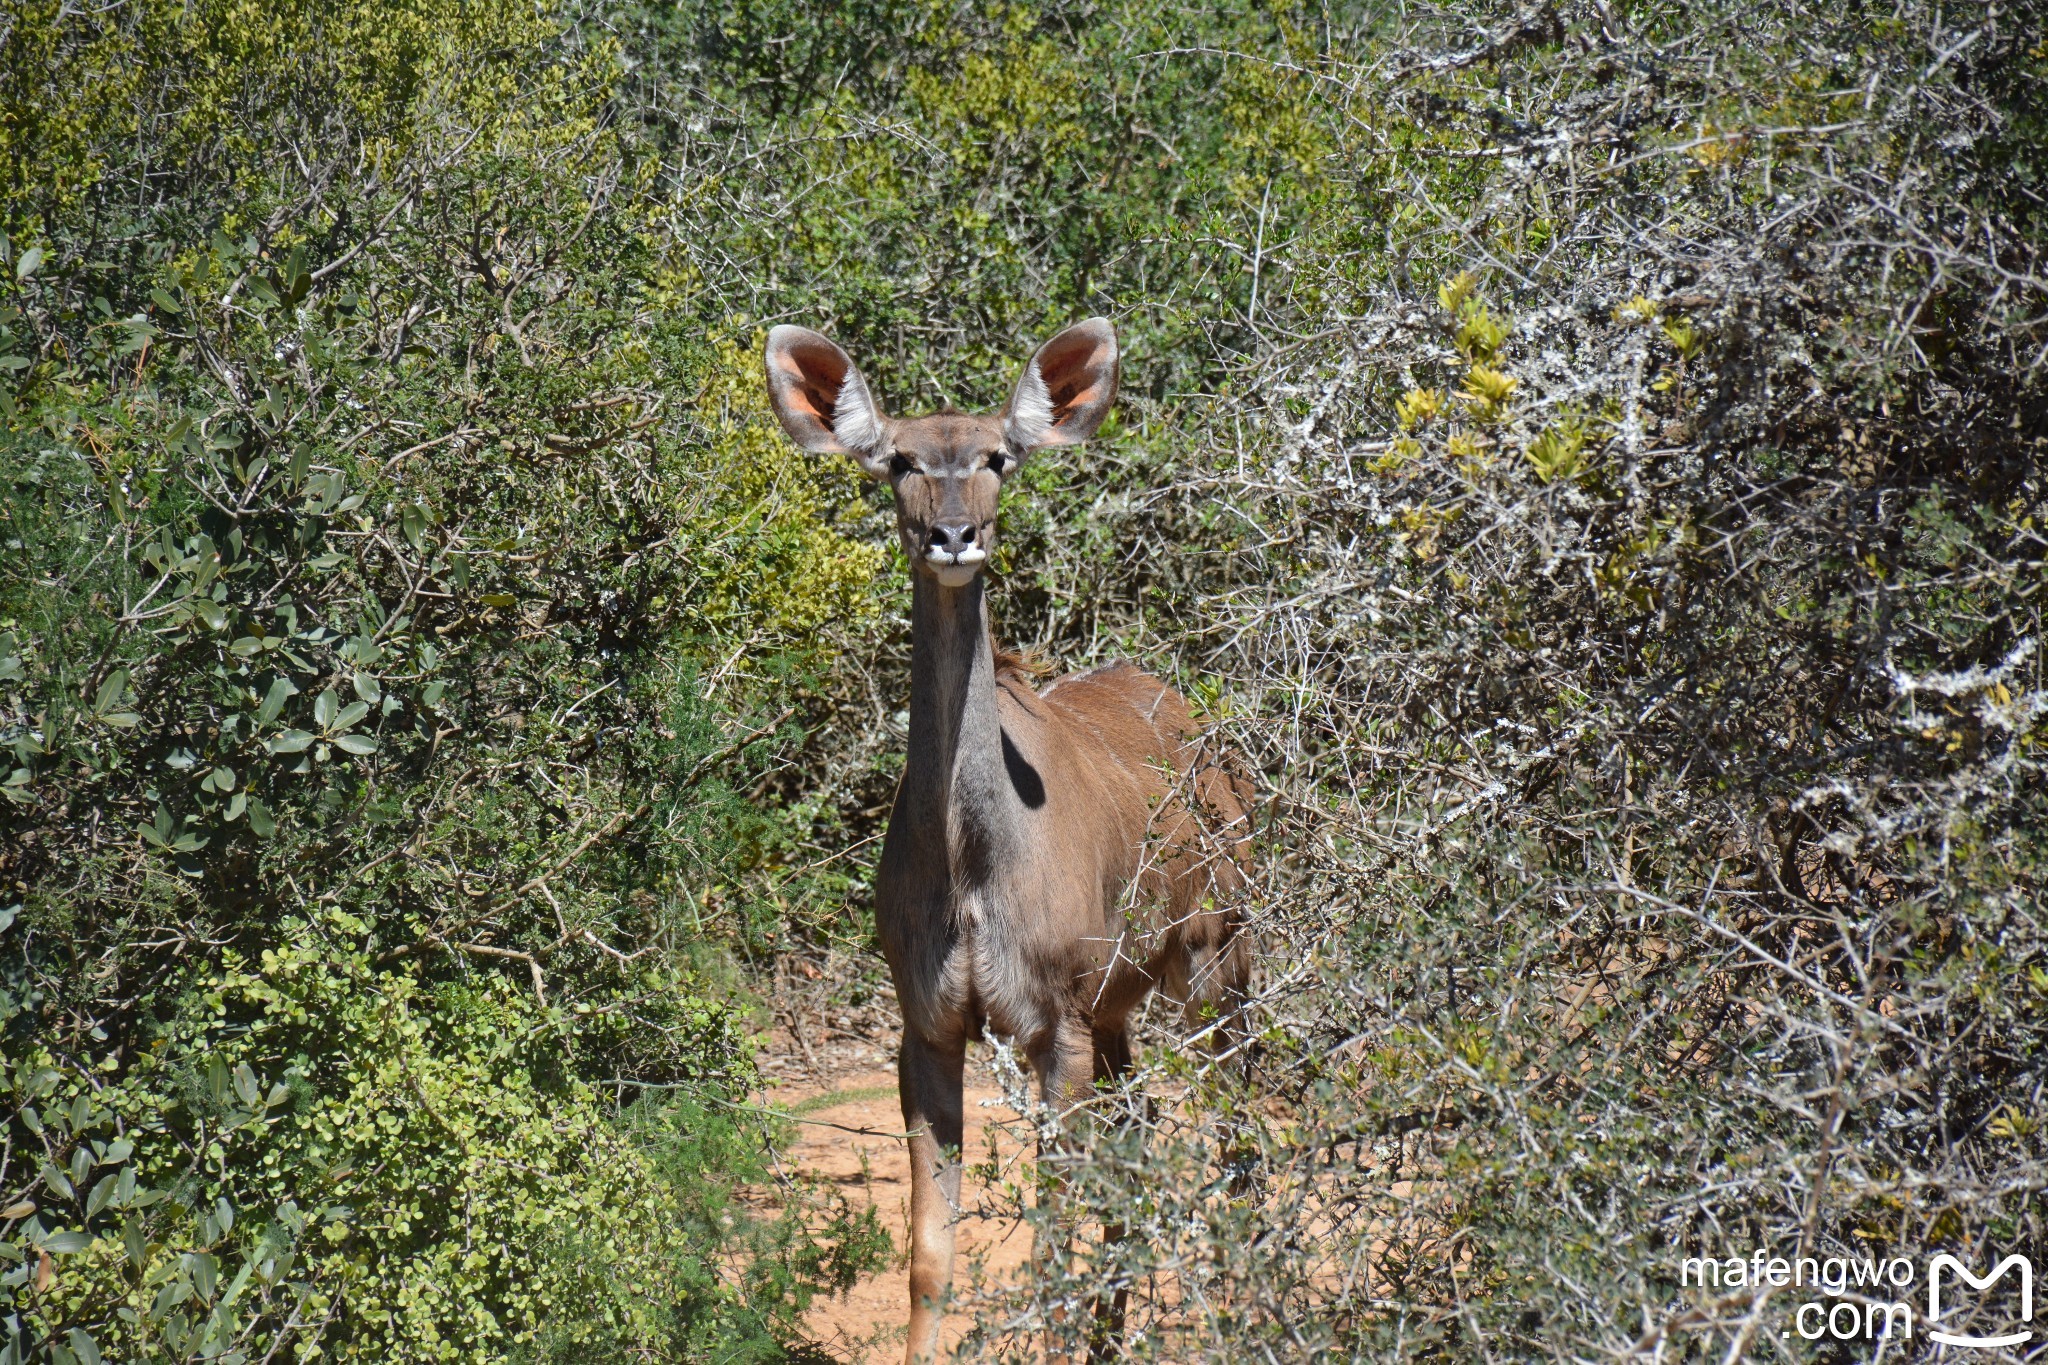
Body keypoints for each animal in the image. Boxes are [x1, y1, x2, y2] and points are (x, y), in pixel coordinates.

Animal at [765, 321, 1245, 1365]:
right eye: (900, 461)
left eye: (995, 457)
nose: (954, 535)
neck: (971, 864)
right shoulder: (930, 1029)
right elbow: (928, 1256)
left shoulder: (1051, 1027)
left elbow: (1053, 1244)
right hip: (1122, 1010)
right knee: (1139, 1138)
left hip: (1216, 963)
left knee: (1237, 1137)